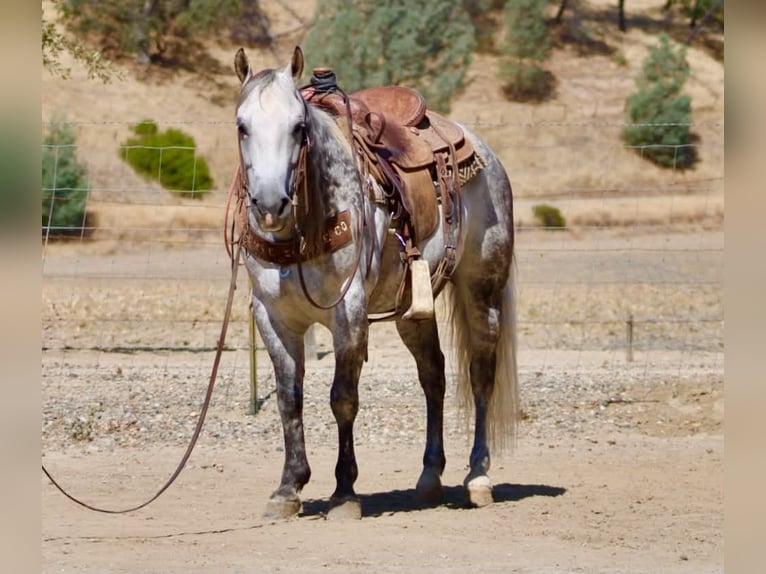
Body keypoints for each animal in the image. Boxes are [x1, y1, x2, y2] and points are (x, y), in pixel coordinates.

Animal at [232, 46, 518, 519]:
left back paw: (478, 477)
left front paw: (345, 491)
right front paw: (288, 488)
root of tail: (485, 151)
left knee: (481, 375)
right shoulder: (272, 317)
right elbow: (288, 397)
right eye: (242, 126)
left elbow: (342, 397)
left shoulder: (348, 313)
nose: (271, 204)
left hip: (483, 288)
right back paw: (429, 477)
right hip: (413, 309)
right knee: (433, 374)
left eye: (299, 127)